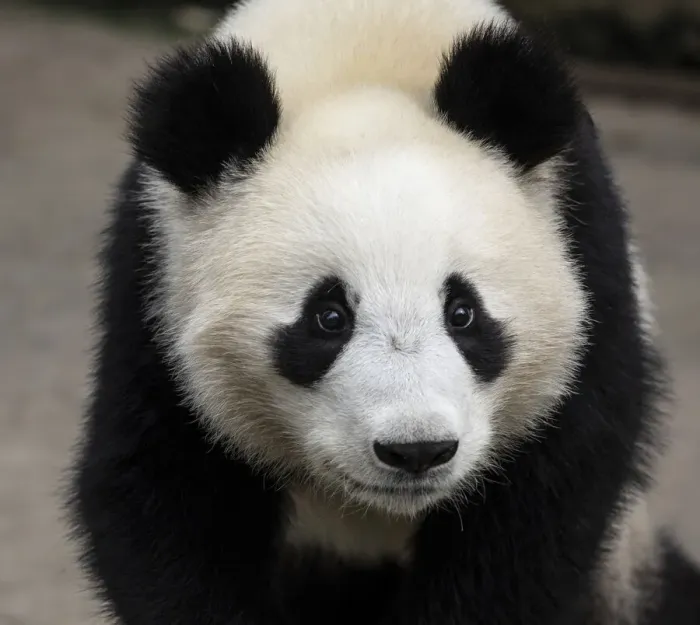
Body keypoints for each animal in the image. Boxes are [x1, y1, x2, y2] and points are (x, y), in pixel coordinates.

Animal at [67, 0, 700, 623]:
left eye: (463, 312)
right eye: (328, 317)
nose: (417, 450)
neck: (362, 50)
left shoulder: (585, 256)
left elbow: (540, 510)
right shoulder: (156, 283)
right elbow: (162, 491)